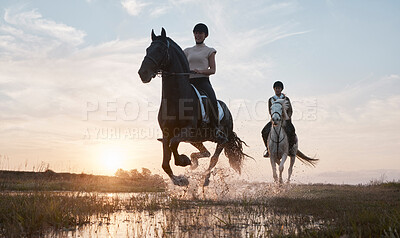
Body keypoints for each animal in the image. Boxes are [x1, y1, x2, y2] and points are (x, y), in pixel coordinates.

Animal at [138, 28, 250, 186]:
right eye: (148, 49)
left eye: (160, 50)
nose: (143, 73)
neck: (176, 99)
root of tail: (227, 111)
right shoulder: (166, 134)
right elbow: (165, 163)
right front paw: (180, 179)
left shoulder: (187, 131)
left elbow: (174, 144)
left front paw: (183, 161)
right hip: (197, 139)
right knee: (206, 153)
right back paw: (194, 162)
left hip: (219, 139)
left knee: (213, 158)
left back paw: (205, 179)